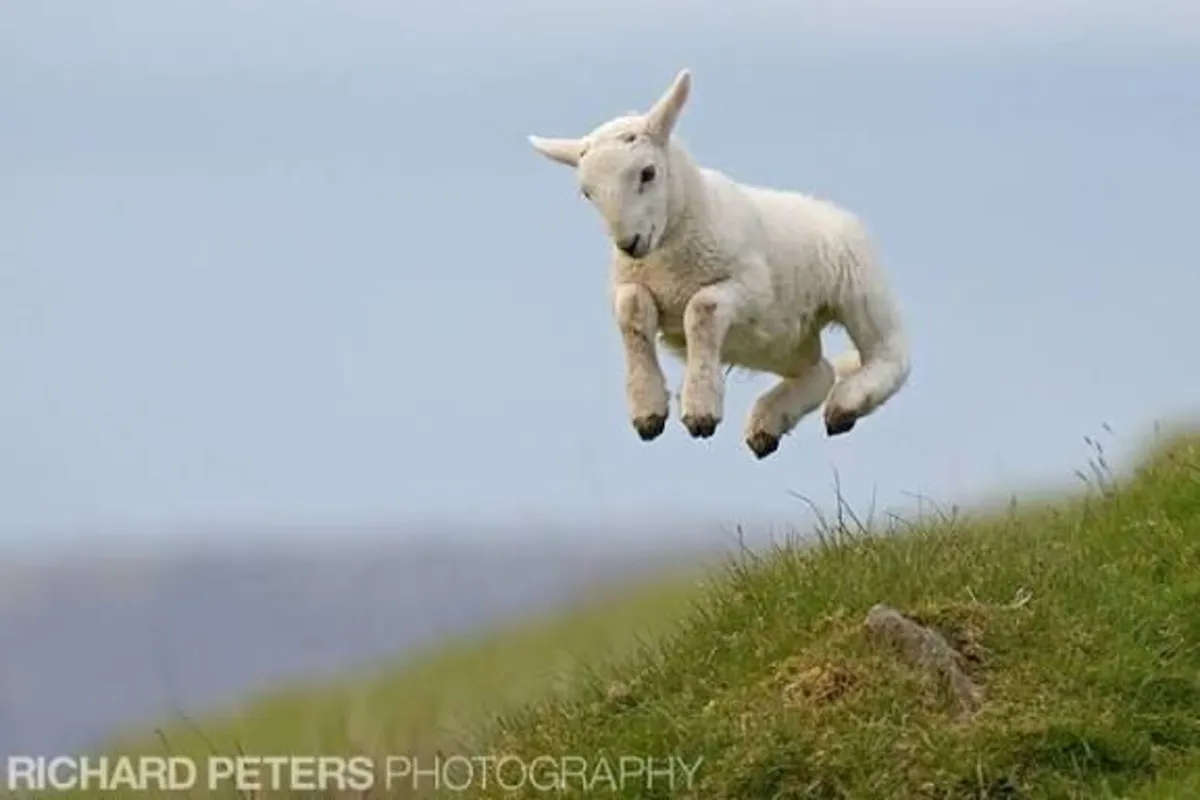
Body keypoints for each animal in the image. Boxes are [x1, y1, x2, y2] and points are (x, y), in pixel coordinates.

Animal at [527, 68, 911, 459]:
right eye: (587, 192)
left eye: (648, 173)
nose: (628, 243)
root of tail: (828, 208)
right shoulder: (630, 284)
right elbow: (632, 311)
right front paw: (648, 412)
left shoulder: (752, 289)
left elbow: (702, 309)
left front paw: (700, 411)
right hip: (778, 342)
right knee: (818, 371)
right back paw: (768, 425)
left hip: (857, 285)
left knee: (890, 354)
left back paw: (845, 405)